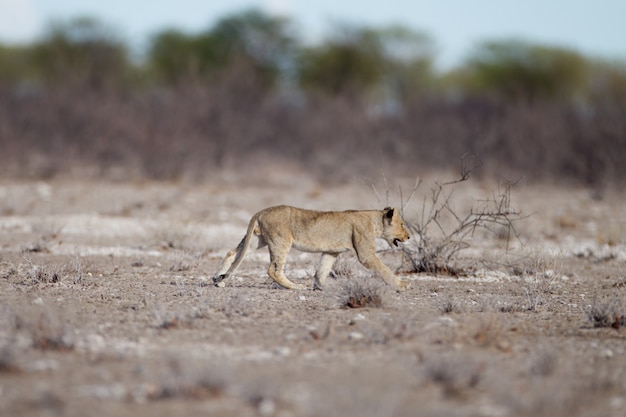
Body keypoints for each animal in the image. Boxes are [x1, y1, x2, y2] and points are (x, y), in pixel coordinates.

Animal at [212, 204, 412, 290]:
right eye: (402, 224)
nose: (409, 236)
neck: (374, 221)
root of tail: (260, 211)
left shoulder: (331, 251)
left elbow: (323, 268)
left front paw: (321, 287)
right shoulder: (366, 254)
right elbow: (383, 268)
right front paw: (401, 284)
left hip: (257, 240)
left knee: (233, 253)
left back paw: (218, 279)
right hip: (281, 241)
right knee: (273, 270)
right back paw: (295, 287)